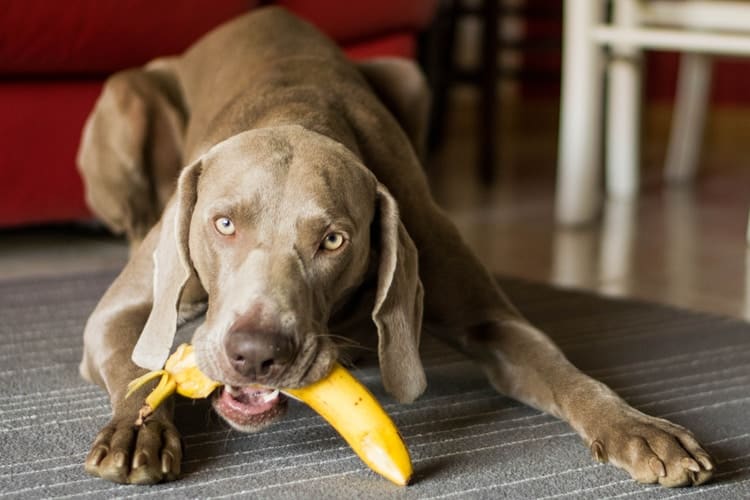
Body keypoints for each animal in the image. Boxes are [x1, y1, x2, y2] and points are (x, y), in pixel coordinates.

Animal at [76, 5, 716, 486]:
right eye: (224, 224)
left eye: (333, 240)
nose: (256, 354)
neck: (297, 112)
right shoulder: (120, 313)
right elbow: (135, 366)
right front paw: (137, 429)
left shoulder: (487, 313)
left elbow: (565, 371)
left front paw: (637, 427)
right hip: (126, 97)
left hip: (410, 75)